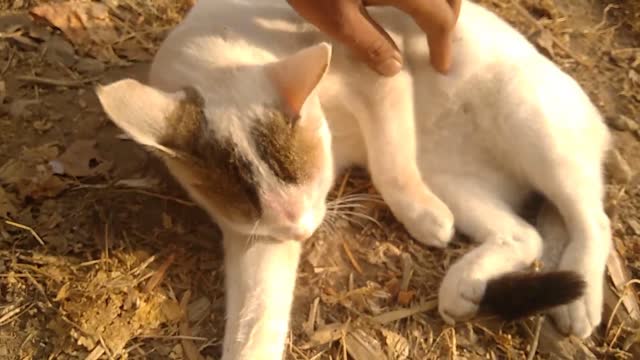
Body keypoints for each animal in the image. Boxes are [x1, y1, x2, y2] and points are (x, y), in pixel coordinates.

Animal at [95, 0, 608, 360]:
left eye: (313, 174)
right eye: (246, 203)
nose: (300, 229)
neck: (219, 52)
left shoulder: (382, 71)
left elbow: (390, 161)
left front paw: (421, 214)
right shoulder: (260, 236)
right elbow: (256, 312)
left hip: (531, 123)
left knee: (592, 220)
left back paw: (580, 298)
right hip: (457, 180)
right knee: (524, 235)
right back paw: (465, 286)